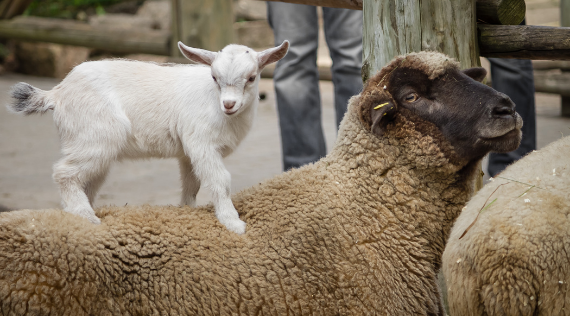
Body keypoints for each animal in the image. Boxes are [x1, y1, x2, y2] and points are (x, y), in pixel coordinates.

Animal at [4, 40, 288, 235]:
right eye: (214, 77)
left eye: (251, 78)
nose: (229, 104)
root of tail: (57, 93)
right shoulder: (203, 145)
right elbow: (221, 180)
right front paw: (233, 223)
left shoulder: (188, 153)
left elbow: (191, 185)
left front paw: (187, 212)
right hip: (96, 137)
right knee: (64, 173)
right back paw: (87, 217)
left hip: (90, 145)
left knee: (87, 181)